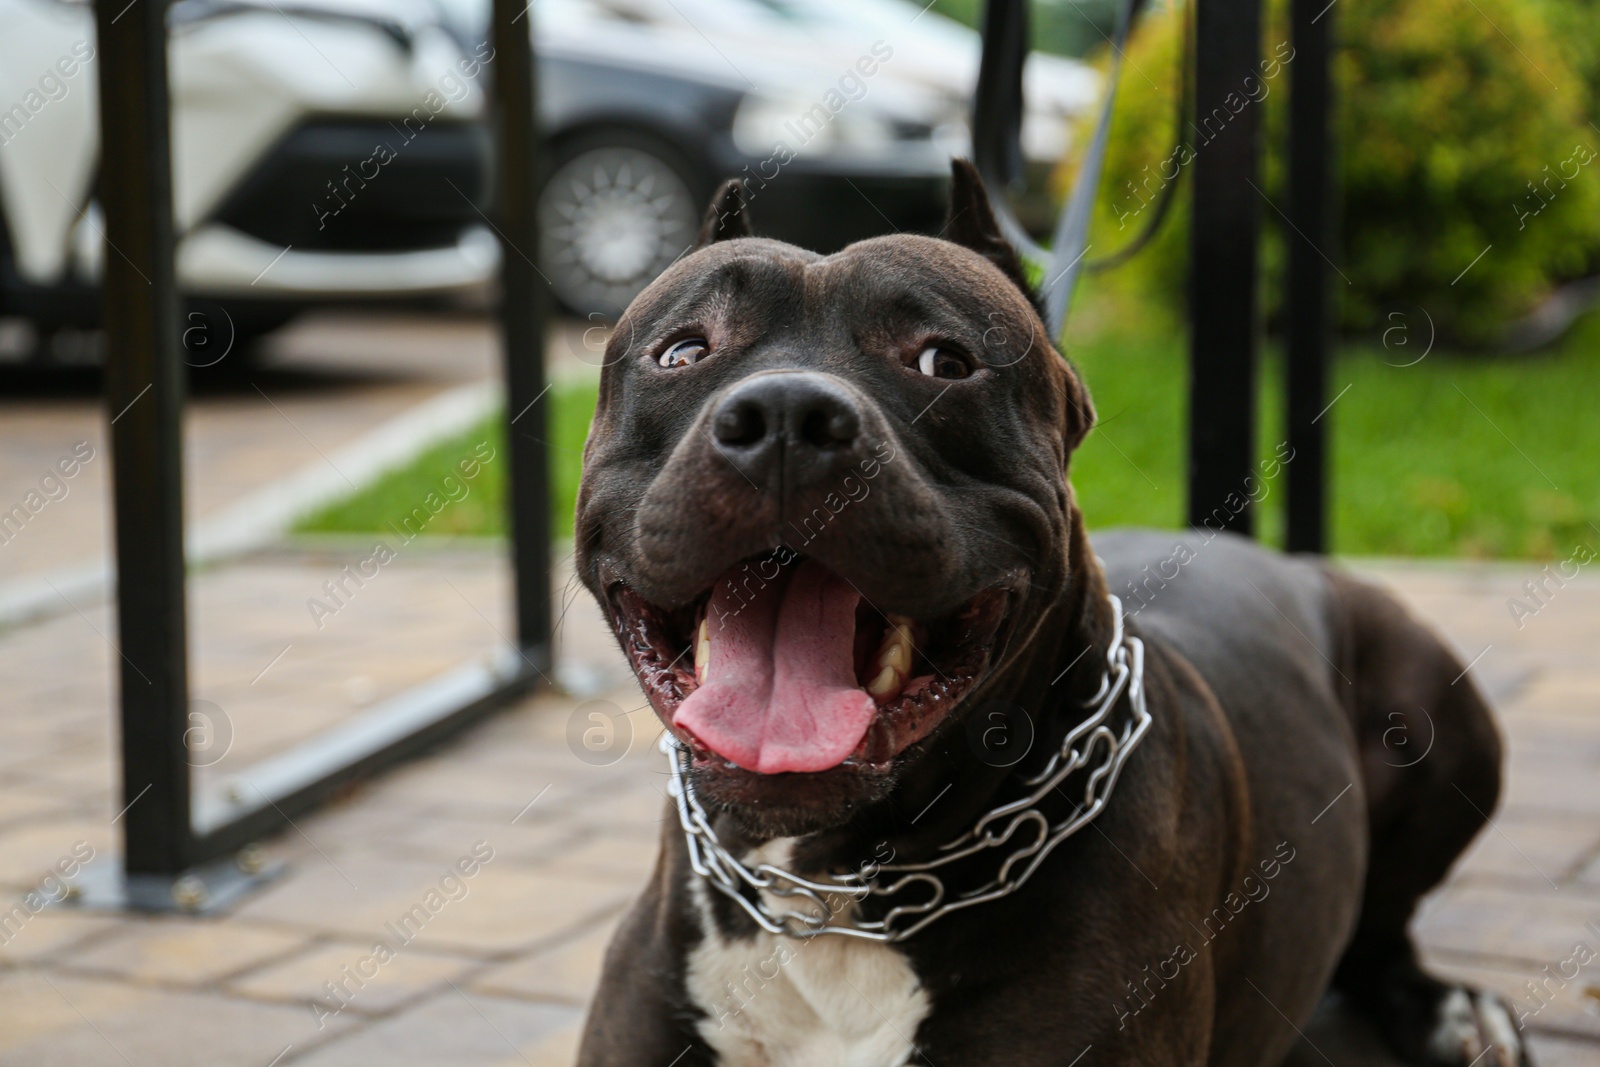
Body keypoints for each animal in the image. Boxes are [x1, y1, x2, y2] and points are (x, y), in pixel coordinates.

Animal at [566, 160, 1523, 1067]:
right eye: (683, 352)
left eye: (944, 362)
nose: (786, 415)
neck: (829, 897)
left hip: (1439, 712)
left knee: (1382, 925)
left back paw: (1452, 1009)